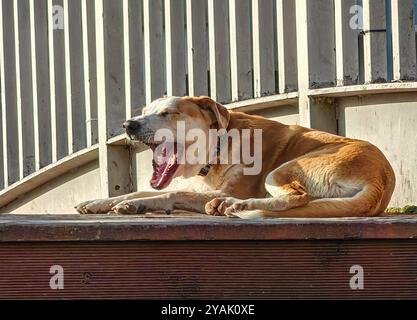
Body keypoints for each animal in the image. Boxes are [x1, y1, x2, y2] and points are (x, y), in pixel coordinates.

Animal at [74, 95, 394, 219]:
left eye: (167, 113)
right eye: (144, 112)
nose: (128, 125)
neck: (217, 148)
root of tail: (382, 179)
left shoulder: (224, 187)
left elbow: (170, 193)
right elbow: (139, 191)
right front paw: (104, 202)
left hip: (283, 170)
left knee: (296, 197)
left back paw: (235, 205)